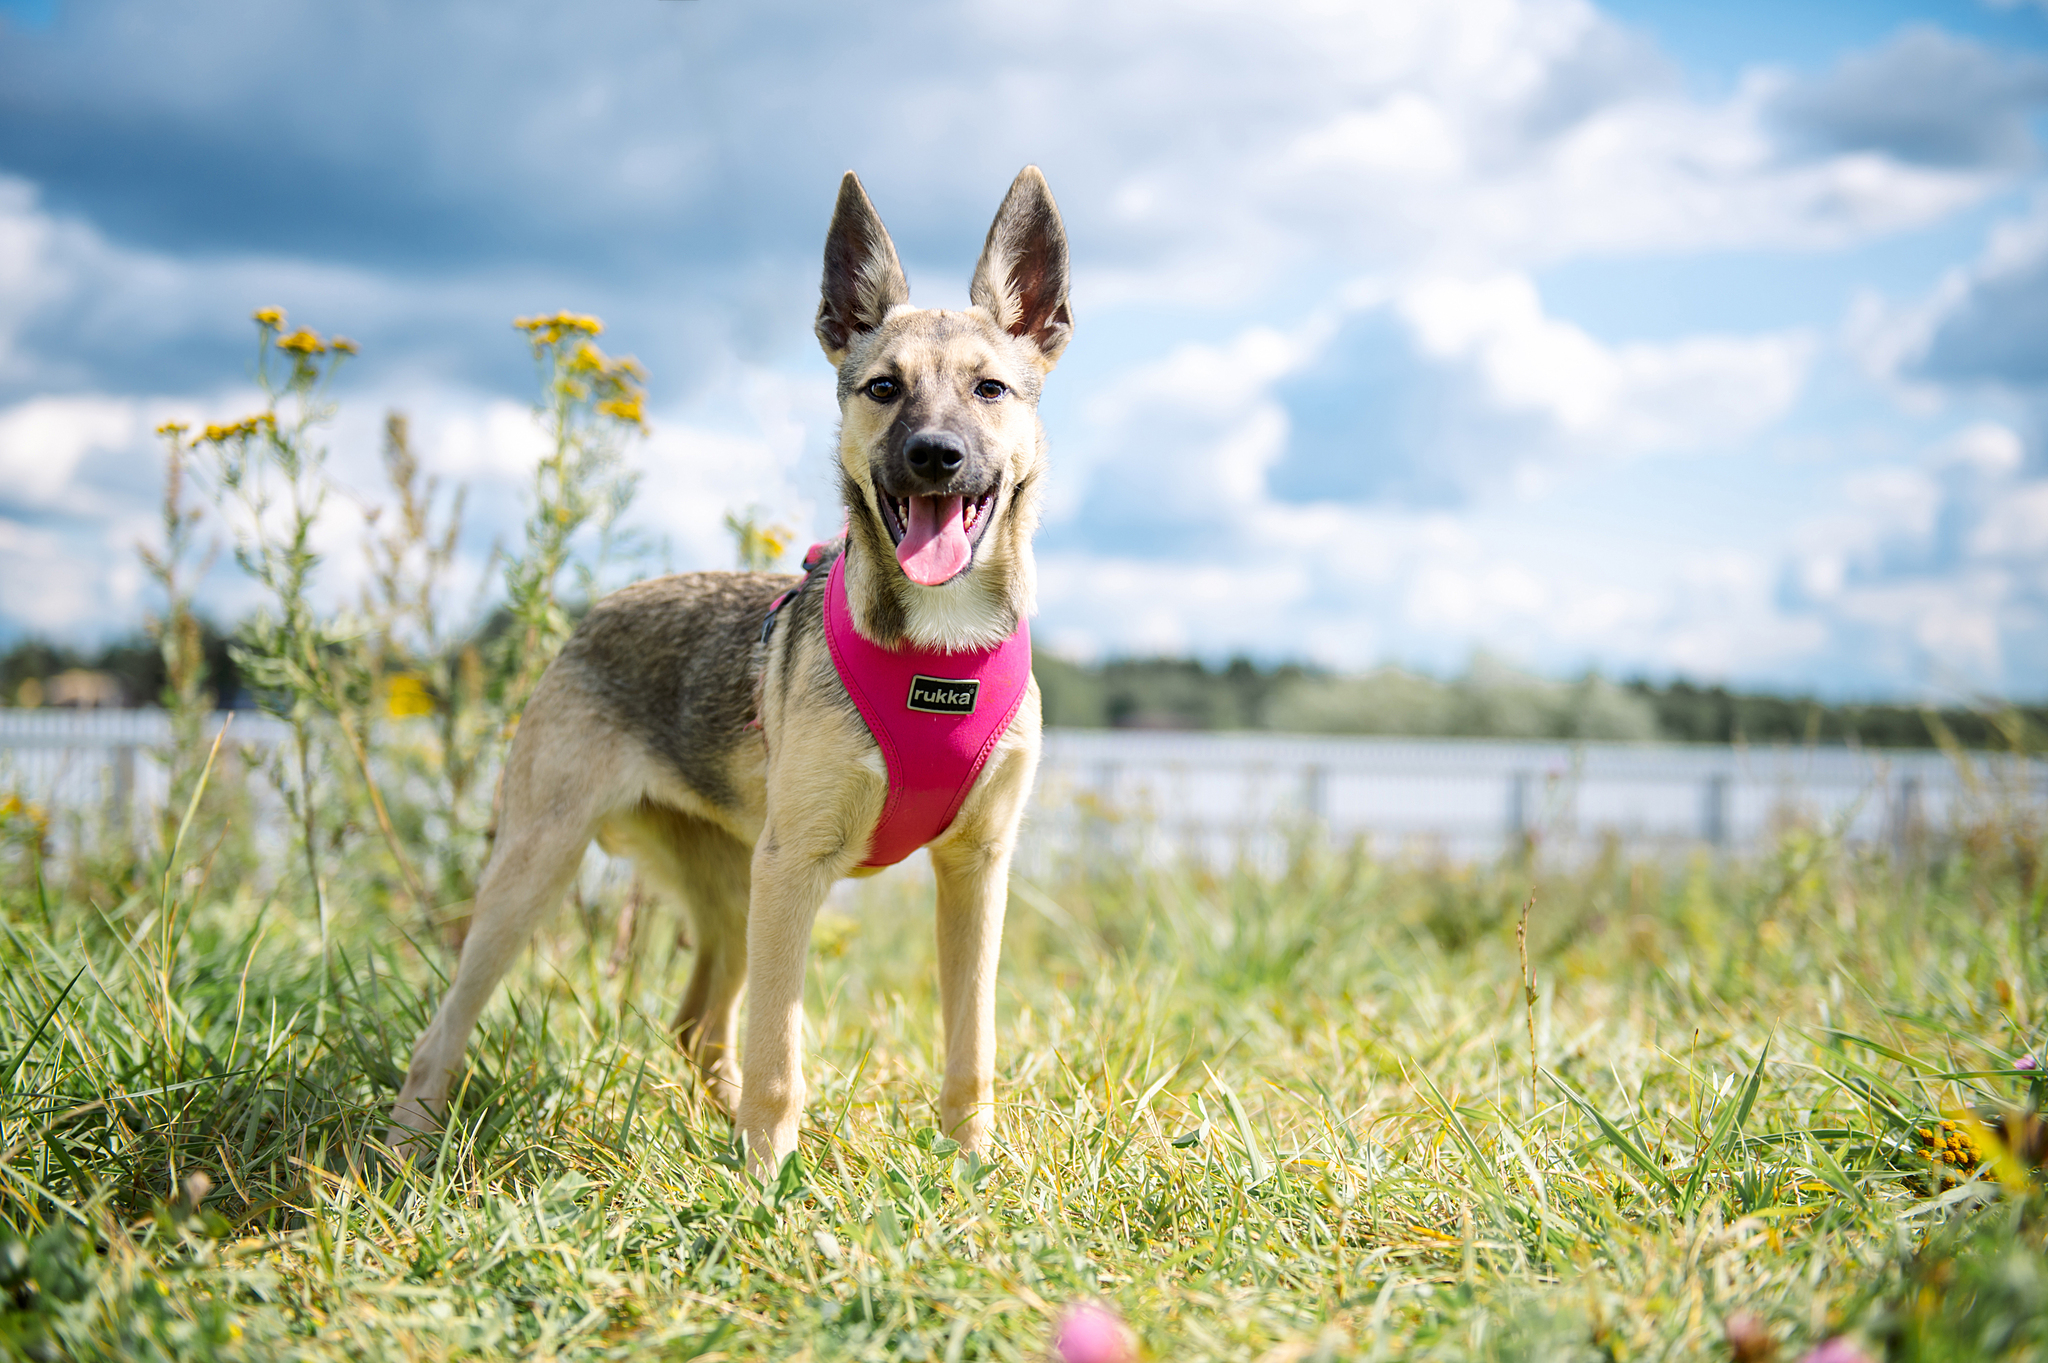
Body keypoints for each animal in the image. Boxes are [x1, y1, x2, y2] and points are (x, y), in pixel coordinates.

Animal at [391, 166, 1081, 1170]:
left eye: (990, 388)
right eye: (883, 388)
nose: (935, 456)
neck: (935, 650)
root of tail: (589, 616)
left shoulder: (976, 866)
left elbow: (971, 1042)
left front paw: (972, 1164)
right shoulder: (796, 866)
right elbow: (779, 1049)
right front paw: (768, 1176)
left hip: (725, 887)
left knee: (697, 1026)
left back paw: (712, 1125)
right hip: (540, 869)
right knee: (446, 1025)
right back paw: (404, 1144)